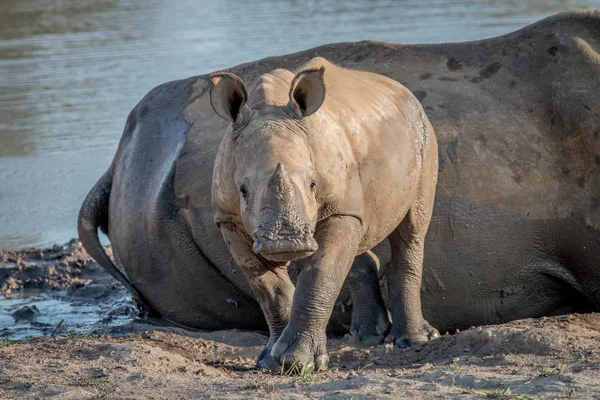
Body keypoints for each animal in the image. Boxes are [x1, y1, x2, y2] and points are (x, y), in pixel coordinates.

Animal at [212, 57, 440, 372]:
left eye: (312, 184)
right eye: (243, 190)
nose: (285, 241)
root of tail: (402, 89)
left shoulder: (338, 209)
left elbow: (321, 273)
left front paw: (299, 362)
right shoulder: (228, 218)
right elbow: (268, 288)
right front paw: (271, 361)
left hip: (423, 135)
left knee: (413, 227)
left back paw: (413, 341)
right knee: (361, 235)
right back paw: (366, 338)